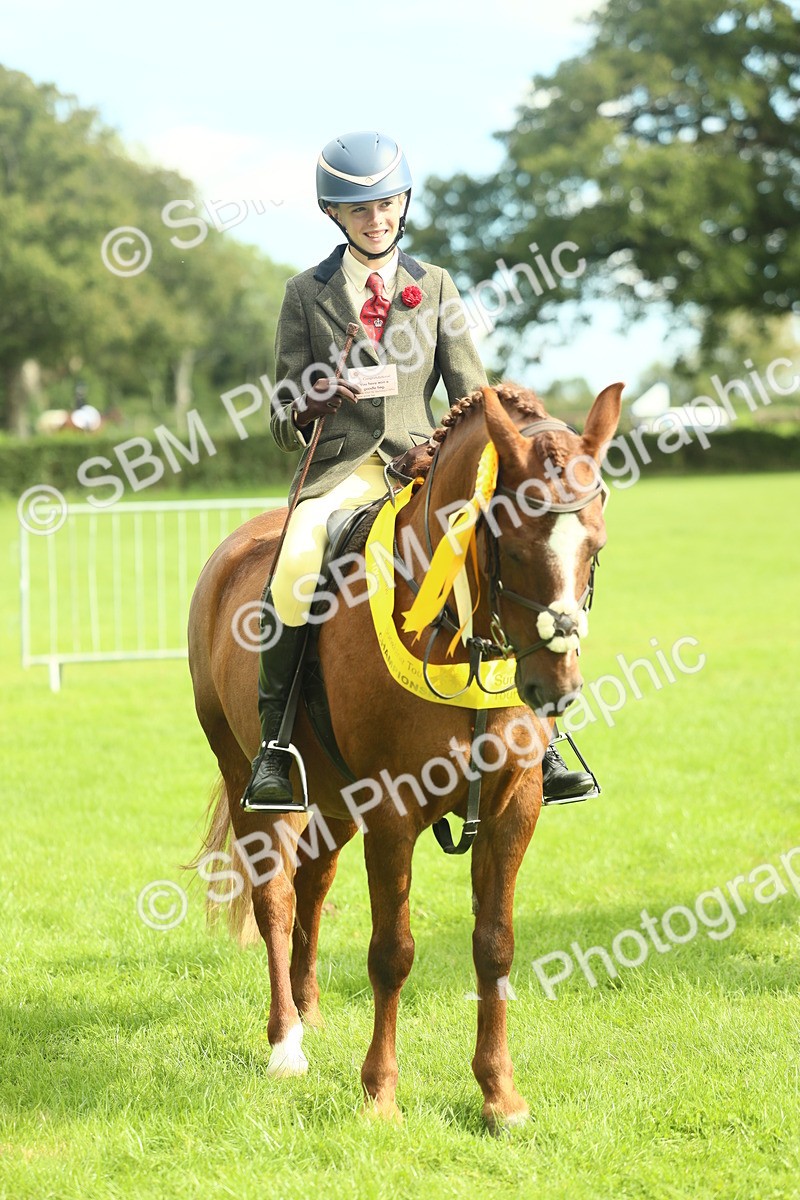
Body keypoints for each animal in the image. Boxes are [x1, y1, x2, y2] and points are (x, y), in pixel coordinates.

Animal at [188, 380, 622, 1131]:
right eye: (514, 542)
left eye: (593, 545)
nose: (556, 688)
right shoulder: (391, 811)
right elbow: (392, 951)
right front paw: (380, 1094)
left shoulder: (513, 806)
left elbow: (495, 944)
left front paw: (499, 1095)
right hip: (251, 778)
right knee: (275, 897)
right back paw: (286, 1043)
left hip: (332, 802)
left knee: (313, 883)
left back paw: (309, 1011)